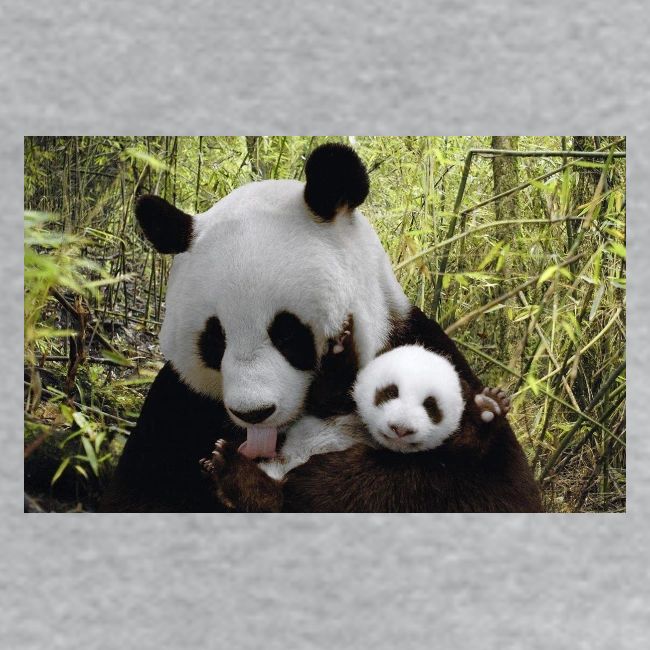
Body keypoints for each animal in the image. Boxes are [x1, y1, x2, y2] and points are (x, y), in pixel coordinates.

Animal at [100, 143, 540, 513]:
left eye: (288, 333)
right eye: (215, 340)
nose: (254, 413)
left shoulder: (421, 347)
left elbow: (488, 489)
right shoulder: (179, 405)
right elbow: (138, 494)